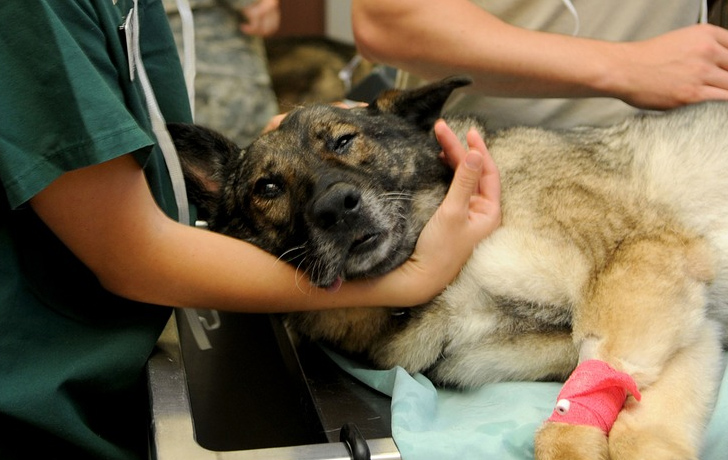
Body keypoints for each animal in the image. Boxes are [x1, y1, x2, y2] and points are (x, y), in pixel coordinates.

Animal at [171, 77, 728, 458]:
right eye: (267, 187)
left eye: (344, 140)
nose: (336, 207)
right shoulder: (684, 325)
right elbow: (636, 420)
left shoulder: (644, 264)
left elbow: (605, 416)